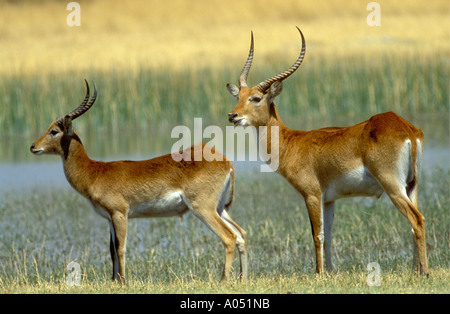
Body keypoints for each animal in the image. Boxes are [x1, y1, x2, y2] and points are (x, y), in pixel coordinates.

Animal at [30, 80, 250, 282]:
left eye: (54, 131)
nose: (33, 146)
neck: (95, 172)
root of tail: (226, 161)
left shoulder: (120, 214)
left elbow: (121, 248)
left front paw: (123, 281)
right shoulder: (109, 218)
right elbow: (112, 250)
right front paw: (114, 281)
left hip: (202, 208)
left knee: (229, 237)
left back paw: (223, 280)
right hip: (219, 208)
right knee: (241, 234)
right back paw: (242, 278)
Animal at [227, 27, 428, 278]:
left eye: (256, 98)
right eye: (238, 97)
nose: (232, 116)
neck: (292, 143)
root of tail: (406, 128)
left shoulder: (312, 195)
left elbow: (317, 235)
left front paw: (318, 273)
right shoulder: (329, 199)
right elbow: (330, 237)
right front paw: (330, 272)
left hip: (392, 185)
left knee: (417, 220)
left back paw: (425, 272)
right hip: (411, 185)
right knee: (414, 223)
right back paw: (415, 271)